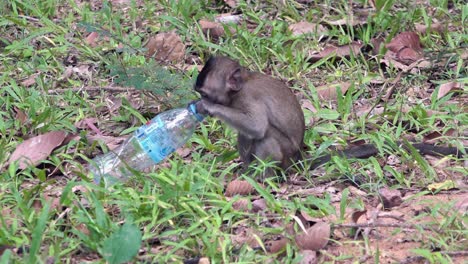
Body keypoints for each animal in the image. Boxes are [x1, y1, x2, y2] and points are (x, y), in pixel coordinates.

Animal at [194, 55, 464, 176]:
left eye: (205, 93)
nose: (199, 99)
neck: (240, 88)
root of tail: (299, 160)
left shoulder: (248, 98)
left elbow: (258, 125)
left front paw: (209, 109)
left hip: (285, 156)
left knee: (265, 135)